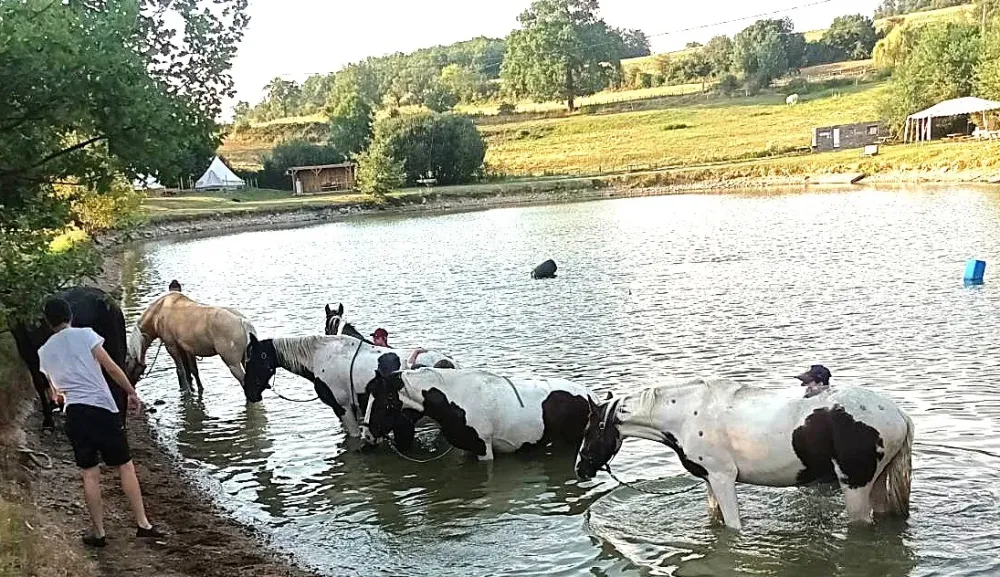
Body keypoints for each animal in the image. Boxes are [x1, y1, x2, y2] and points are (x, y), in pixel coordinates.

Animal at [125, 291, 256, 396]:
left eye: (126, 363)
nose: (130, 386)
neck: (158, 313)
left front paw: (187, 391)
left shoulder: (171, 346)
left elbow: (181, 370)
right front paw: (199, 389)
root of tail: (242, 321)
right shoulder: (188, 349)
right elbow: (193, 370)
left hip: (233, 364)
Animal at [575, 378, 914, 531]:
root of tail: (896, 413)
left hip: (855, 487)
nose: (580, 469)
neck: (686, 415)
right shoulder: (711, 482)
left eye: (589, 430)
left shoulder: (723, 480)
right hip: (877, 483)